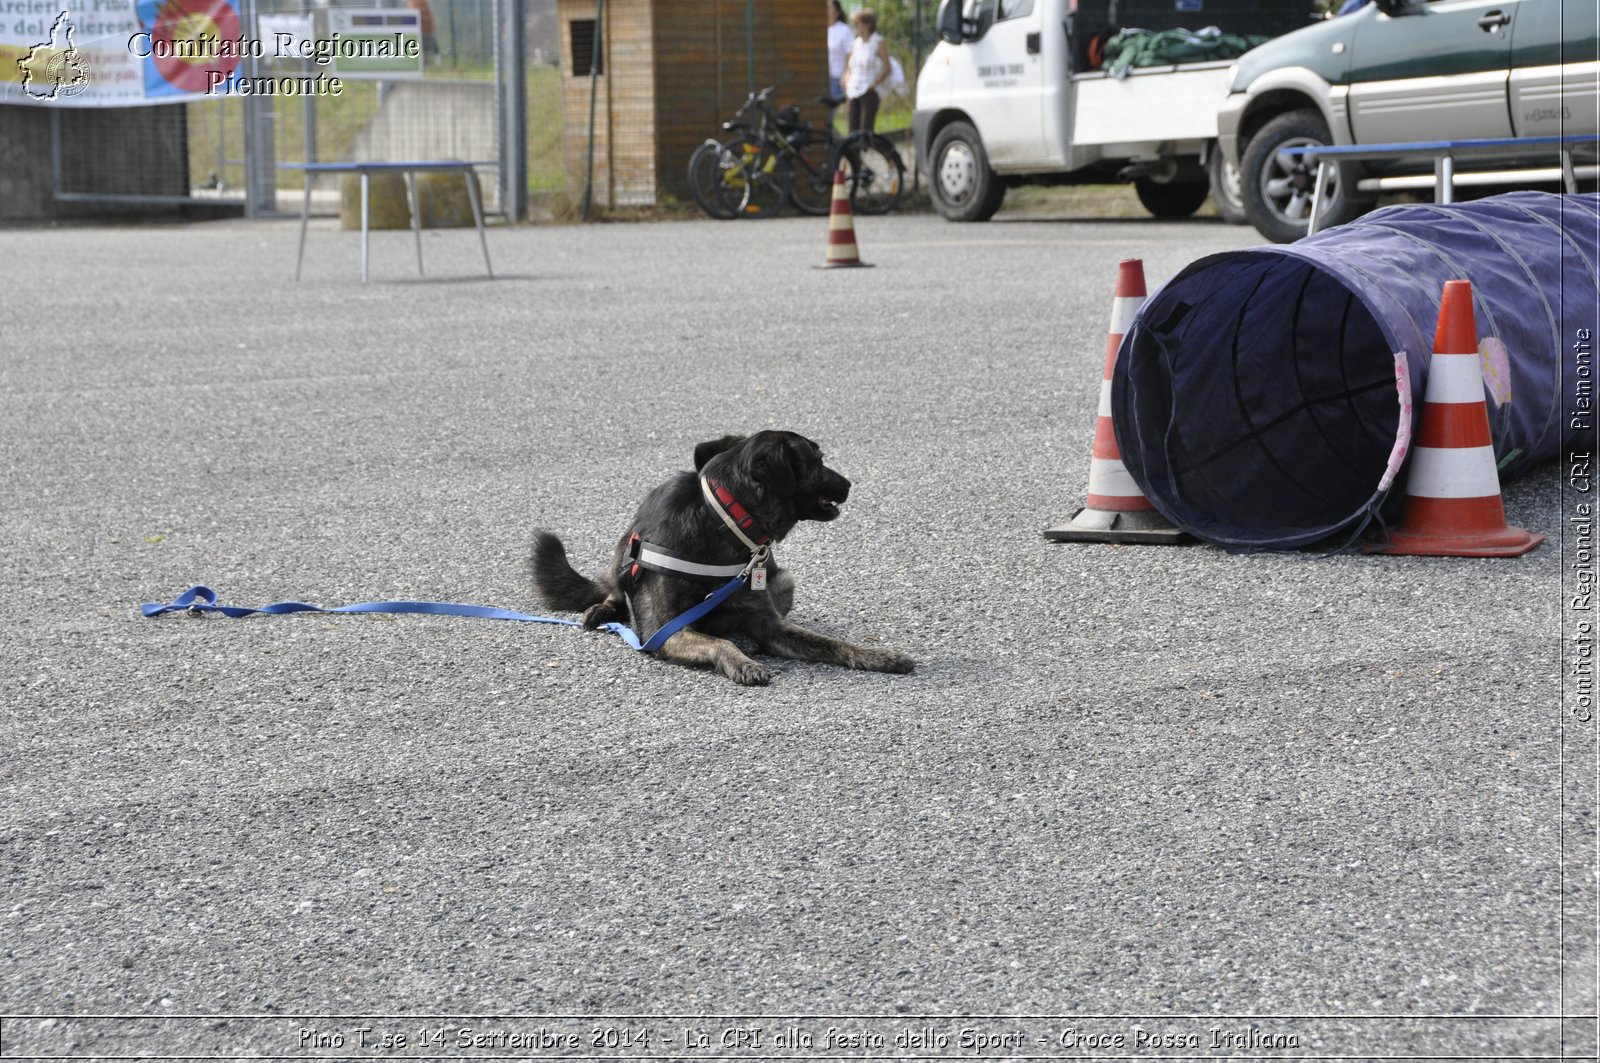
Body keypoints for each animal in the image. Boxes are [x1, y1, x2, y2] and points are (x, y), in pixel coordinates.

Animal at [531, 429, 915, 685]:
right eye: (818, 462)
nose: (849, 484)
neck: (723, 523)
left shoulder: (771, 626)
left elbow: (832, 643)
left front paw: (879, 655)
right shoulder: (666, 629)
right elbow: (721, 642)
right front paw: (743, 662)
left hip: (783, 579)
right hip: (623, 550)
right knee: (612, 589)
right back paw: (602, 610)